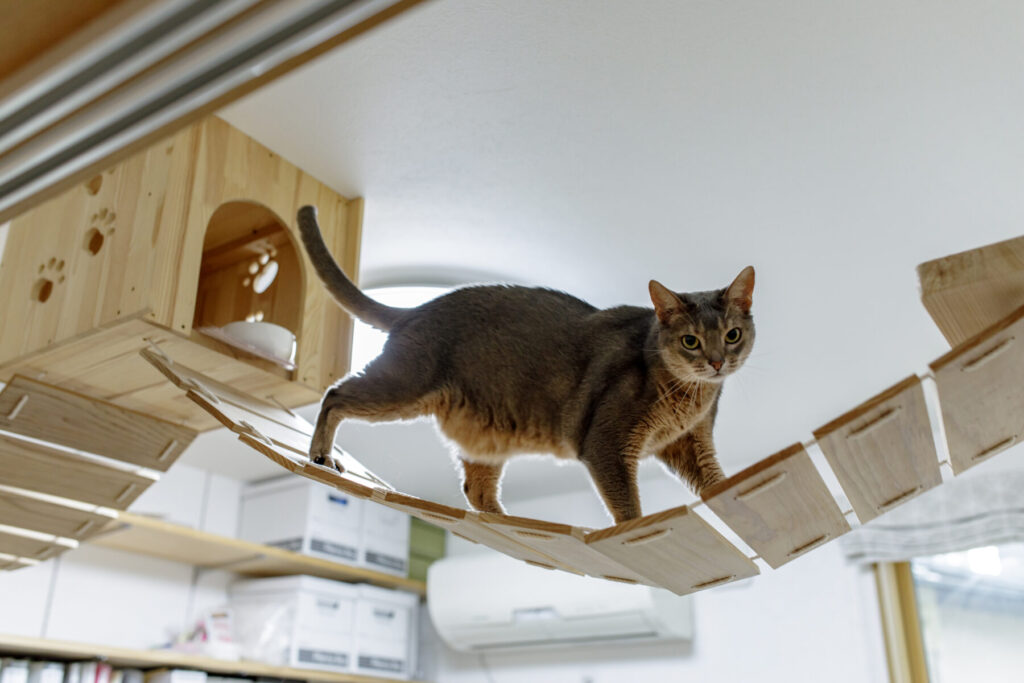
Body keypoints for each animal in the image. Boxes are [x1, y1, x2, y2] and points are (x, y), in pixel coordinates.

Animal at [296, 205, 753, 520]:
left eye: (732, 335)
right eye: (691, 341)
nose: (717, 362)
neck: (692, 396)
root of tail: (417, 308)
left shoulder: (692, 444)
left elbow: (719, 482)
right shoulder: (606, 444)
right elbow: (627, 506)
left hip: (483, 438)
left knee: (476, 491)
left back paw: (510, 525)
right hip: (405, 384)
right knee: (335, 394)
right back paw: (321, 454)